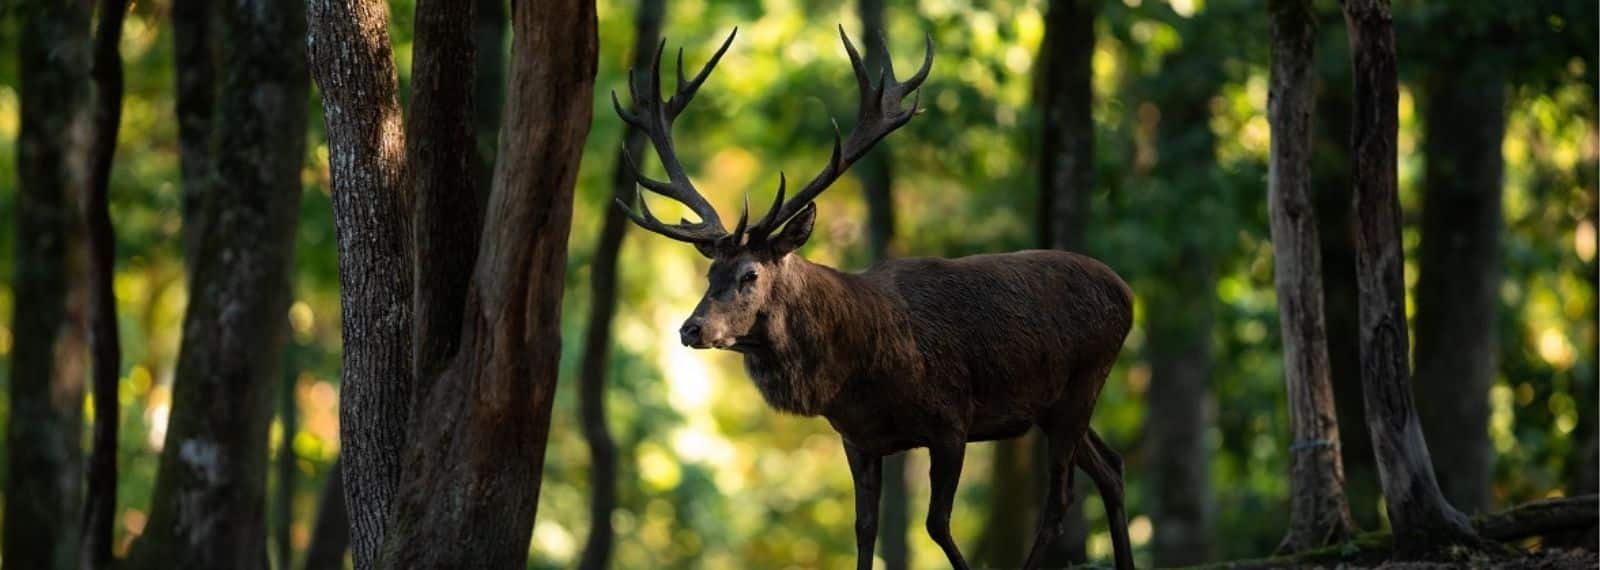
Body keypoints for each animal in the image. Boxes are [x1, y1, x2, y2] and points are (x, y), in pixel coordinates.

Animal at [612, 27, 1135, 570]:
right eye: (709, 271)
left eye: (750, 273)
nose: (691, 328)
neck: (860, 371)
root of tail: (1126, 292)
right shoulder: (857, 438)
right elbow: (865, 529)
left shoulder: (952, 418)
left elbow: (937, 525)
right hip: (1057, 404)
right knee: (1112, 468)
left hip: (1085, 379)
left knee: (1061, 499)